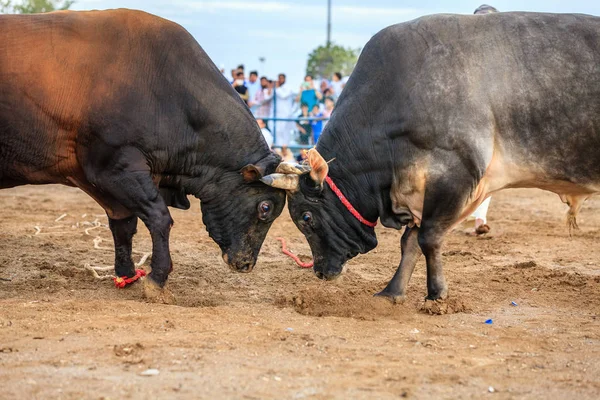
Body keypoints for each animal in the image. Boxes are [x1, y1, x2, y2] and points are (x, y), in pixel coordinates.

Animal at [0, 9, 286, 288]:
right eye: (265, 208)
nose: (246, 264)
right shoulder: (116, 168)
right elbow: (159, 216)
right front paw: (157, 276)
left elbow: (124, 225)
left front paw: (126, 274)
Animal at [274, 11, 596, 300]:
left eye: (306, 216)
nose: (319, 271)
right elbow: (410, 242)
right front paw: (392, 292)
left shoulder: (454, 176)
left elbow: (428, 238)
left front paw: (436, 294)